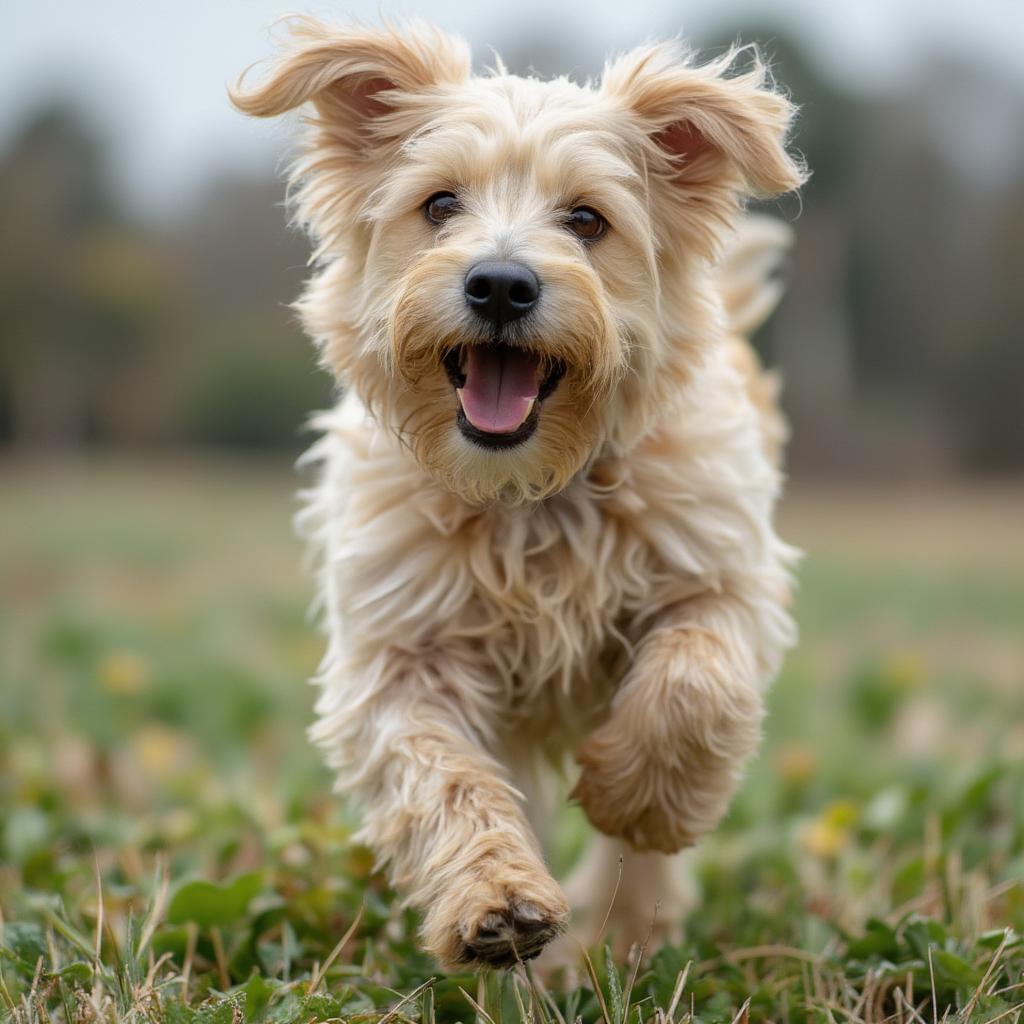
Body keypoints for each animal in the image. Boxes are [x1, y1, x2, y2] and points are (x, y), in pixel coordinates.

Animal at [232, 19, 806, 970]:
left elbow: (691, 685)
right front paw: (494, 901)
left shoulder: (725, 575)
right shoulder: (398, 654)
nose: (500, 284)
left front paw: (636, 799)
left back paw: (621, 930)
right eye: (438, 205)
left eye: (587, 219)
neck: (531, 496)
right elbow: (442, 777)